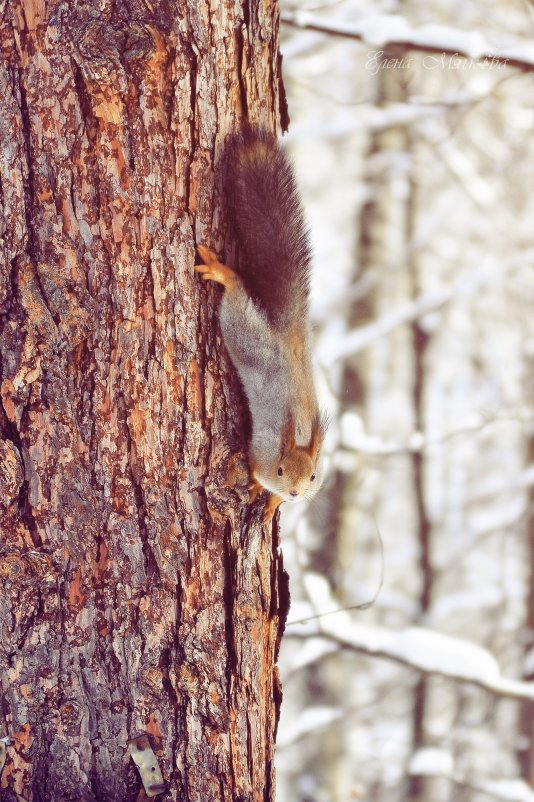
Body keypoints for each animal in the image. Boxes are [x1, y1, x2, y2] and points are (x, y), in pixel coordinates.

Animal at [197, 126, 326, 520]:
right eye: (280, 470)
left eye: (313, 476)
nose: (295, 493)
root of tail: (289, 336)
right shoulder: (259, 453)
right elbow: (254, 473)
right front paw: (259, 488)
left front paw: (272, 504)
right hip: (243, 332)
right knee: (237, 295)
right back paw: (224, 274)